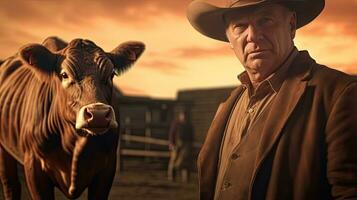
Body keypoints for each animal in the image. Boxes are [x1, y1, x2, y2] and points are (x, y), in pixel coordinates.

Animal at [0, 37, 145, 198]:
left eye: (111, 74)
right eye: (64, 75)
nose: (98, 114)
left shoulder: (107, 168)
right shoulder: (34, 167)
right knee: (10, 184)